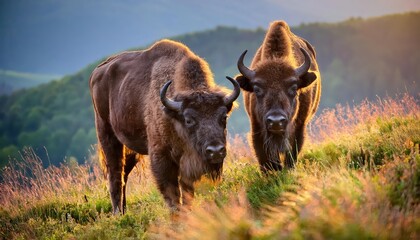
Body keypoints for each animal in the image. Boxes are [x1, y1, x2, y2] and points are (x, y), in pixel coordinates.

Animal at [88, 39, 240, 214]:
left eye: (224, 117)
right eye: (189, 120)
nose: (215, 151)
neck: (174, 116)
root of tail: (97, 71)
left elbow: (187, 191)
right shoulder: (161, 157)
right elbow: (172, 193)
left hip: (130, 148)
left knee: (124, 174)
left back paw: (124, 211)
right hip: (107, 135)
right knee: (115, 175)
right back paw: (118, 213)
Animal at [235, 20, 320, 171]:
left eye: (293, 87)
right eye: (257, 89)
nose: (276, 121)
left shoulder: (299, 127)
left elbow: (291, 154)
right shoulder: (257, 128)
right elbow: (265, 159)